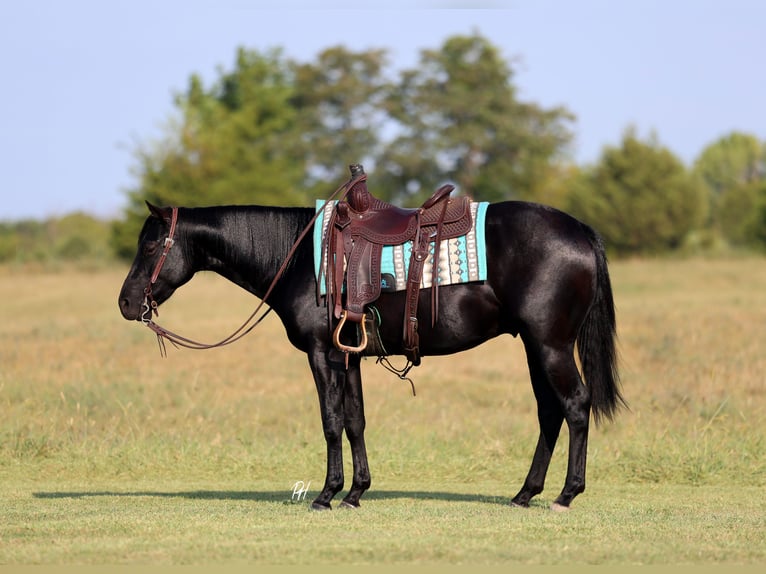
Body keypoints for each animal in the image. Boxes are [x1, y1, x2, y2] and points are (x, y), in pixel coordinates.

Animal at [118, 195, 623, 512]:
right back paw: (525, 493)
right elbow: (355, 420)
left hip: (550, 345)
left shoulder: (323, 355)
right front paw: (356, 492)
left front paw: (327, 494)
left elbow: (330, 421)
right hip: (536, 347)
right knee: (549, 413)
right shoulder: (350, 356)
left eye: (150, 244)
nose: (125, 303)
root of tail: (580, 231)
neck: (301, 259)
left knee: (575, 406)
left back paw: (565, 495)